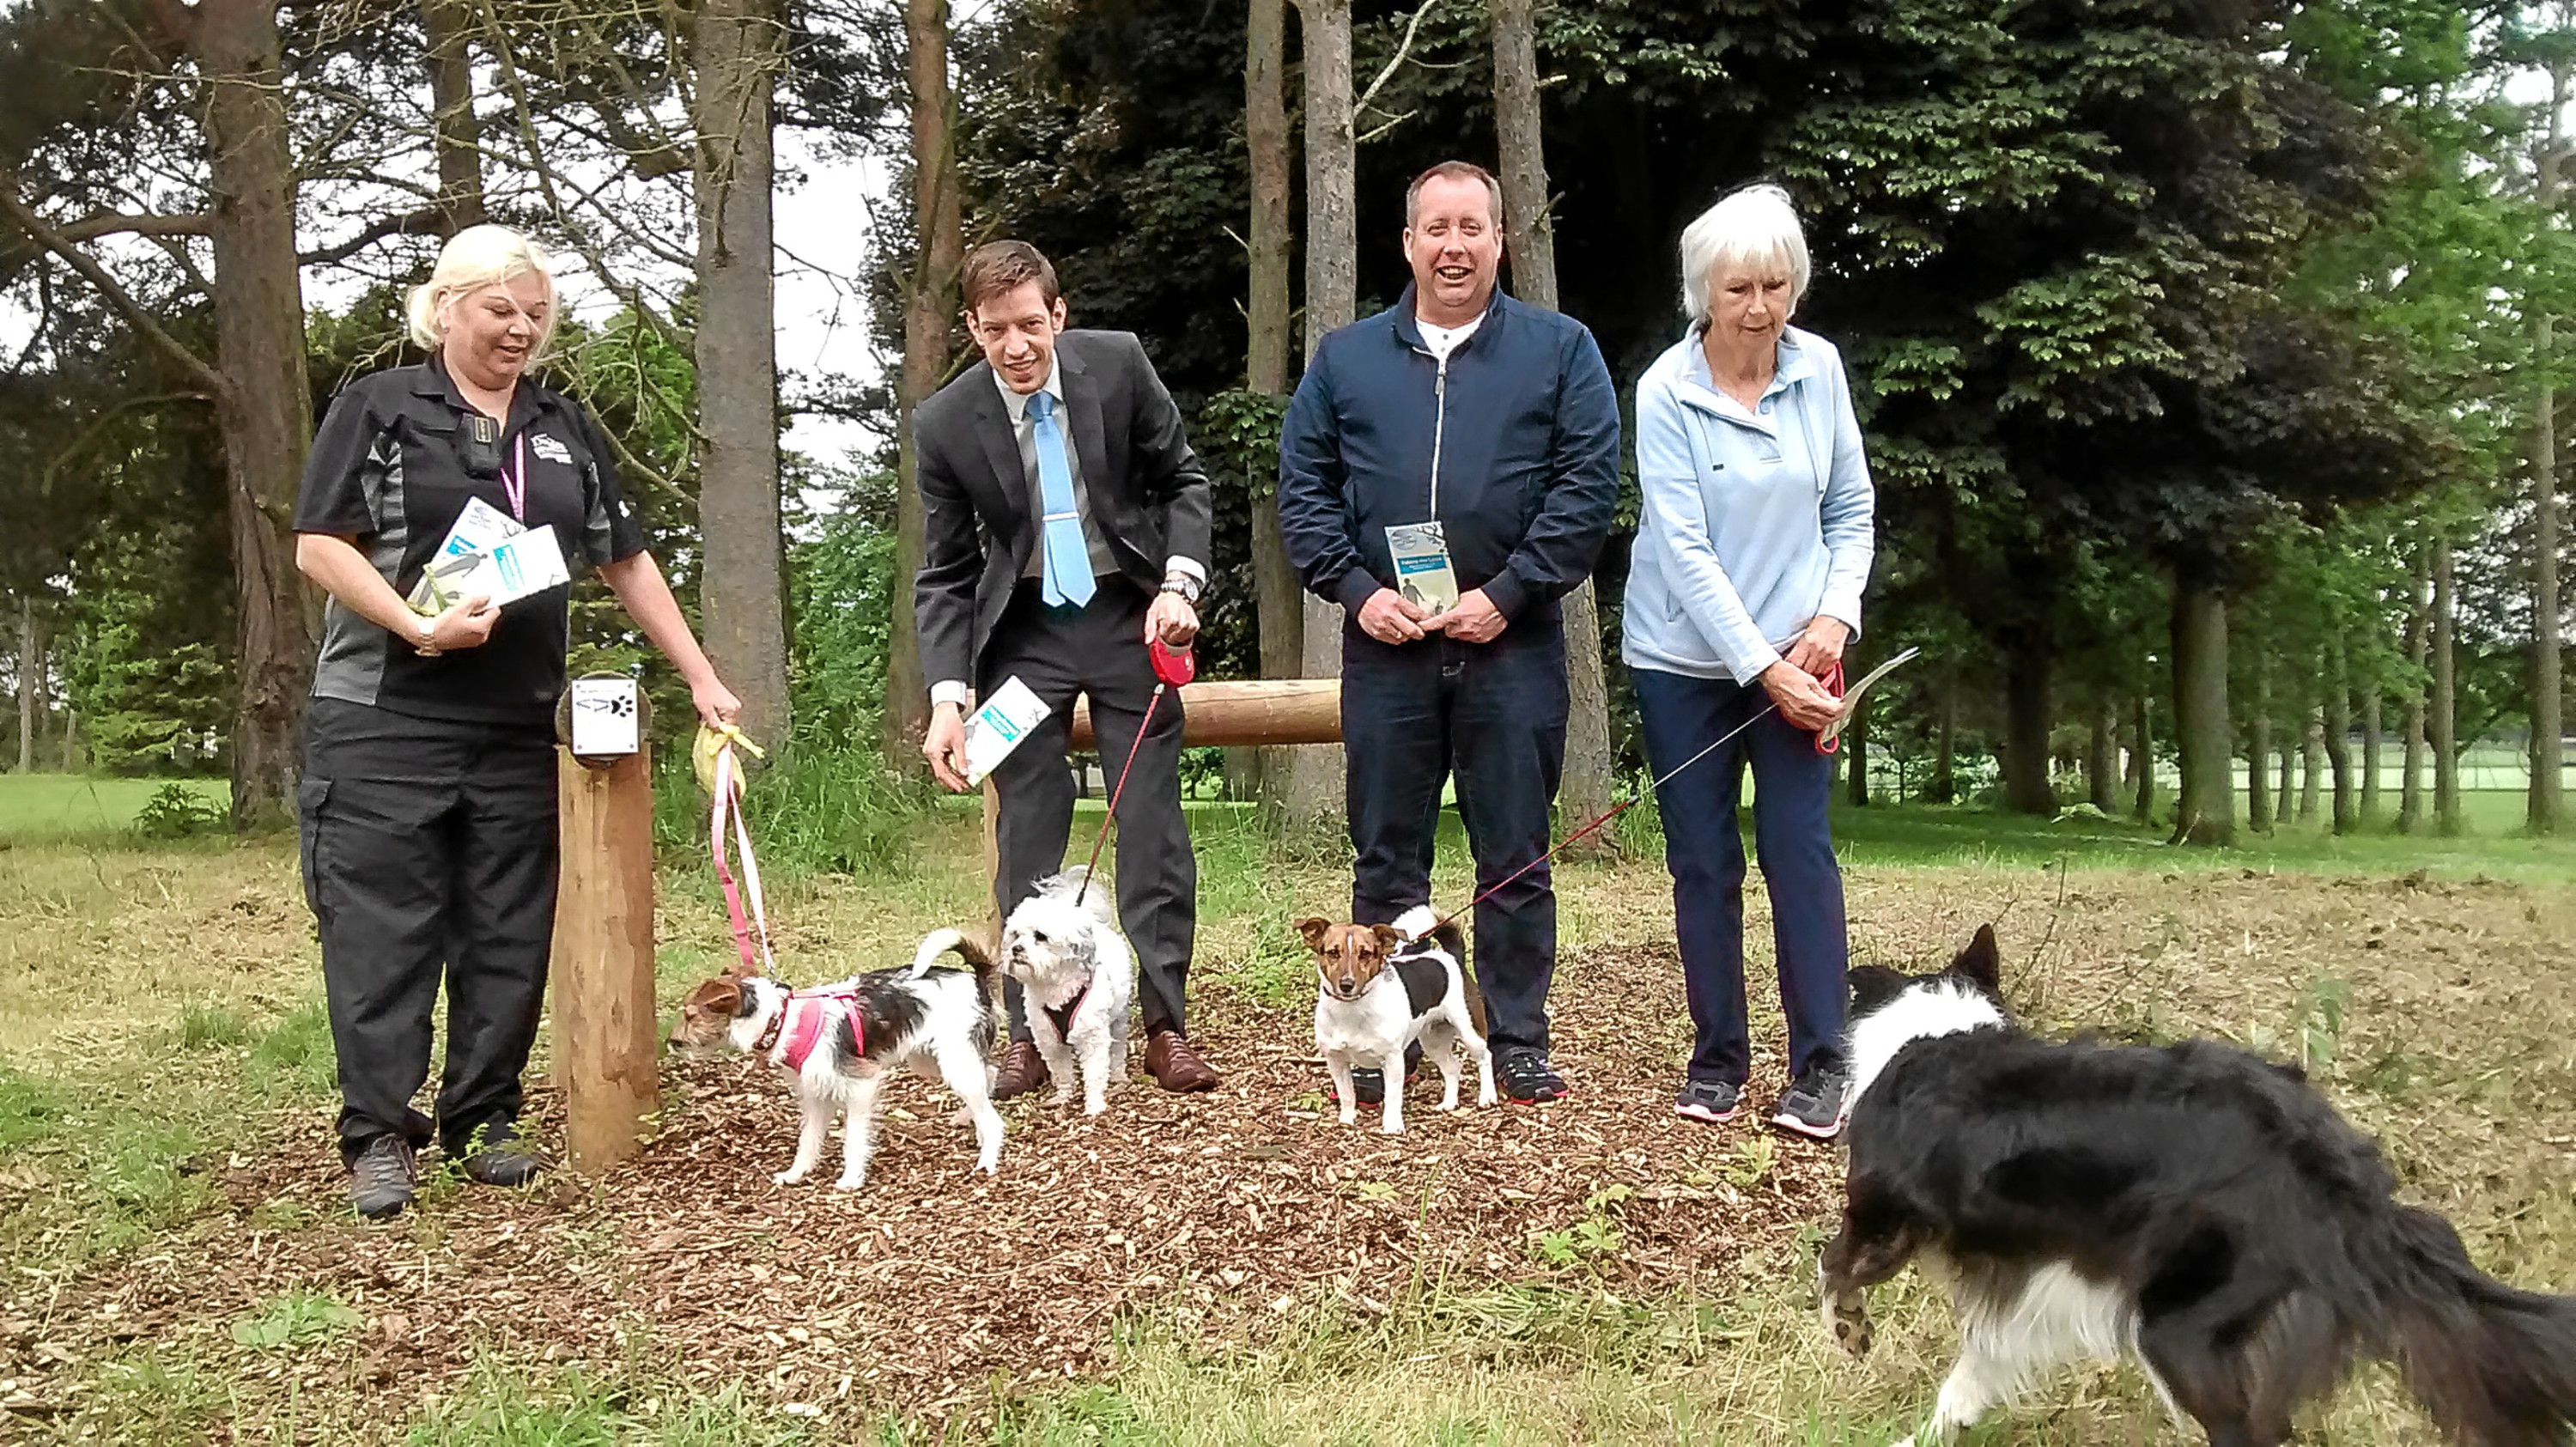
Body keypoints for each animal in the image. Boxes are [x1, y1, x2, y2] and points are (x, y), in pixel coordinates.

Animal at [999, 860, 1133, 1107]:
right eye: (1015, 935)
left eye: (1040, 936)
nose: (1016, 949)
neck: (1054, 988)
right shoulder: (1049, 1041)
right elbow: (1062, 1071)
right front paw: (1062, 1097)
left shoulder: (1093, 1038)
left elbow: (1095, 1073)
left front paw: (1094, 1105)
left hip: (1118, 1020)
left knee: (1118, 1050)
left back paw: (1119, 1075)